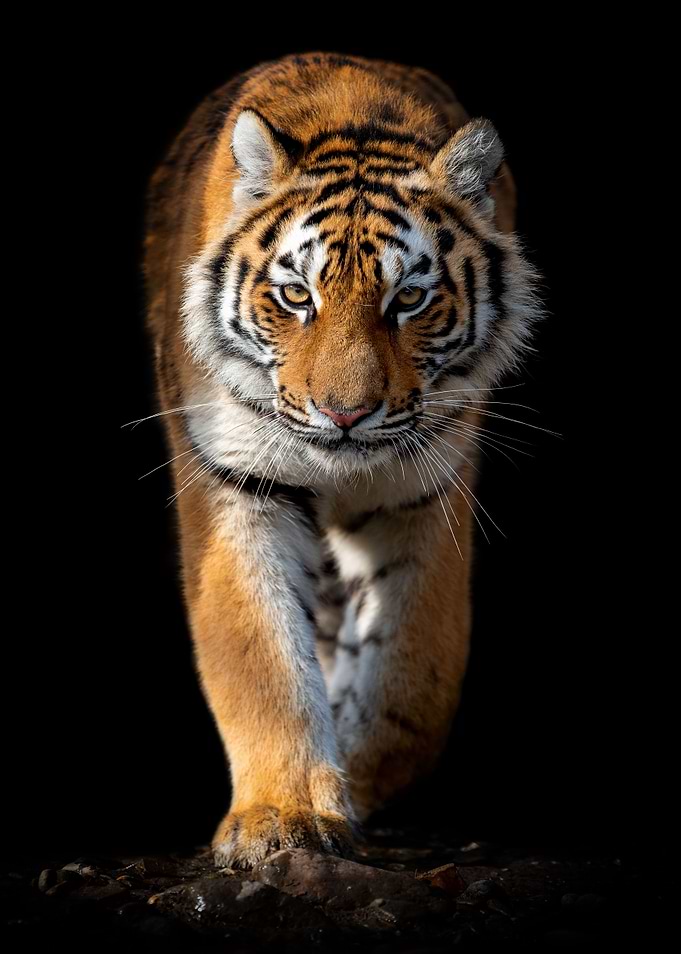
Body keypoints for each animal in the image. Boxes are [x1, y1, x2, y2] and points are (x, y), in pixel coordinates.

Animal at [144, 51, 541, 869]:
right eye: (297, 296)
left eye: (410, 299)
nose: (345, 413)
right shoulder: (238, 485)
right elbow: (260, 660)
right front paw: (285, 817)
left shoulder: (425, 488)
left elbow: (416, 675)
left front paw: (357, 782)